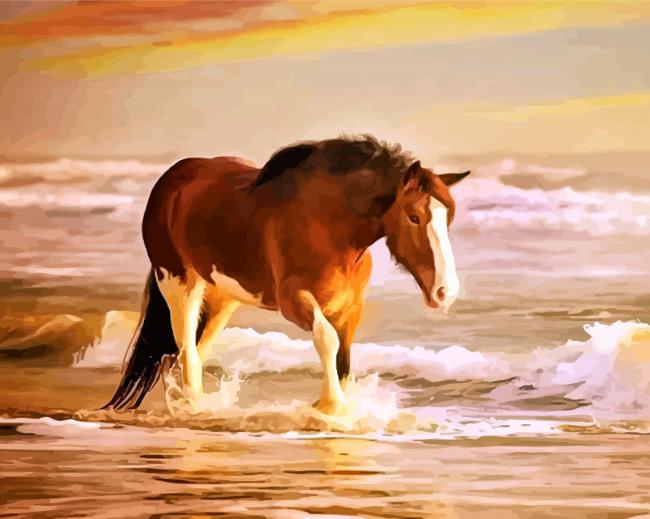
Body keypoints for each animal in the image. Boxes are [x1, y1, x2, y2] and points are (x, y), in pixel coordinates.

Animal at [104, 135, 470, 415]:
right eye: (413, 217)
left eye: (449, 216)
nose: (445, 292)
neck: (329, 225)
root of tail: (171, 179)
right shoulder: (295, 301)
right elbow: (326, 339)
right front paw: (331, 408)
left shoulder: (349, 309)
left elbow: (344, 360)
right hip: (179, 285)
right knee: (185, 351)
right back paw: (193, 408)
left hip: (222, 297)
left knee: (195, 349)